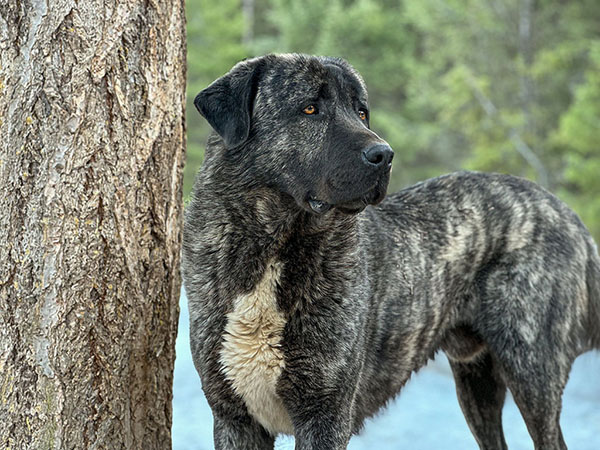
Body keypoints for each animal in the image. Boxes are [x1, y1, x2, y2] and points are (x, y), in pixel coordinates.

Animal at [183, 53, 600, 450]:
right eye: (309, 109)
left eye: (361, 112)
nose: (384, 154)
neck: (275, 247)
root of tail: (567, 213)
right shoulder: (235, 419)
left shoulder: (325, 415)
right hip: (476, 383)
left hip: (532, 373)